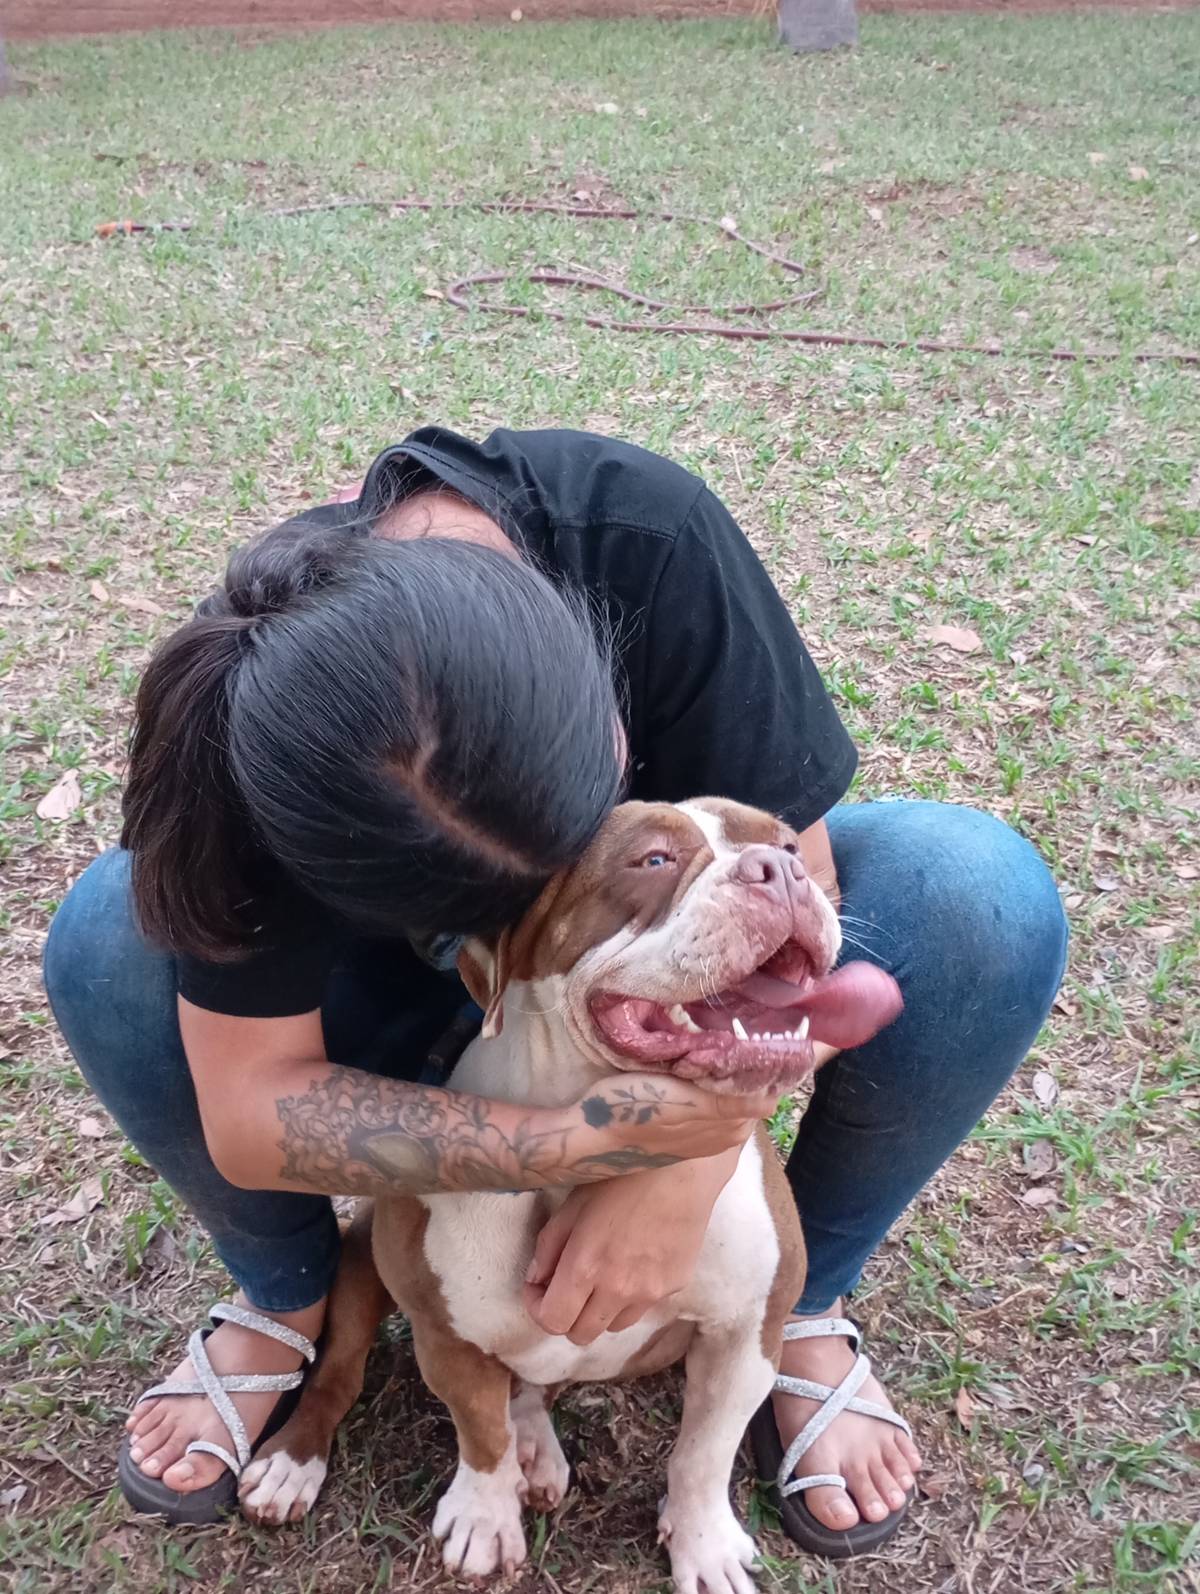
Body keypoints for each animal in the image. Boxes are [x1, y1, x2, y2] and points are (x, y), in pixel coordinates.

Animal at [238, 798, 902, 1594]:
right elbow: (479, 1431)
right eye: (652, 859)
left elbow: (705, 1453)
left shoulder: (749, 1333)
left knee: (536, 1389)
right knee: (341, 1370)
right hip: (364, 1257)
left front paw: (705, 1544)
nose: (782, 870)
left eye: (789, 844)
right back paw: (293, 1463)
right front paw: (484, 1518)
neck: (589, 1174)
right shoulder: (445, 1333)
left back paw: (538, 1446)